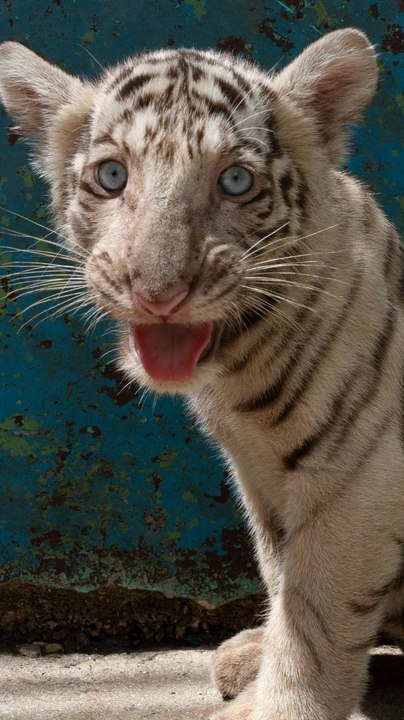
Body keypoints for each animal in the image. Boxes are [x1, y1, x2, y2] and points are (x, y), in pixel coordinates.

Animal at [0, 27, 403, 720]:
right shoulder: (257, 474)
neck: (240, 370)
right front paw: (261, 662)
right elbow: (280, 573)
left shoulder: (354, 476)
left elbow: (316, 621)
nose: (158, 293)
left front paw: (279, 705)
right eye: (112, 176)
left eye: (235, 181)